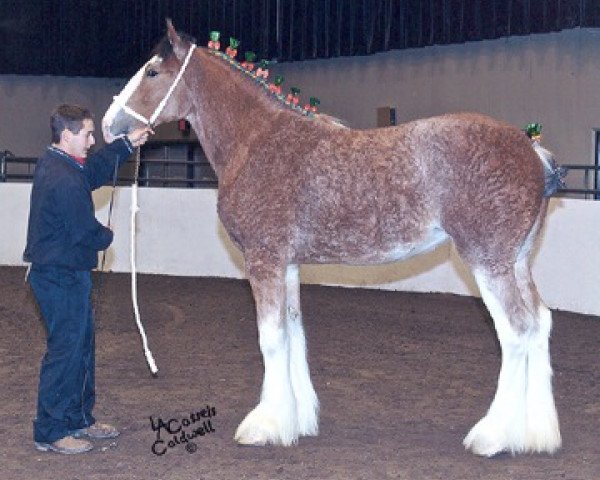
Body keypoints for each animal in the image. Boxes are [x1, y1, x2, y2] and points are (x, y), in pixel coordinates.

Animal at [102, 21, 564, 458]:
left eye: (152, 71)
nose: (109, 125)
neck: (256, 140)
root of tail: (532, 152)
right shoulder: (287, 263)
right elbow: (293, 331)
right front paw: (297, 419)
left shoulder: (264, 260)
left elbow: (271, 338)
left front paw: (264, 426)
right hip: (517, 261)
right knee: (540, 323)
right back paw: (536, 434)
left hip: (487, 261)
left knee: (517, 331)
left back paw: (492, 436)